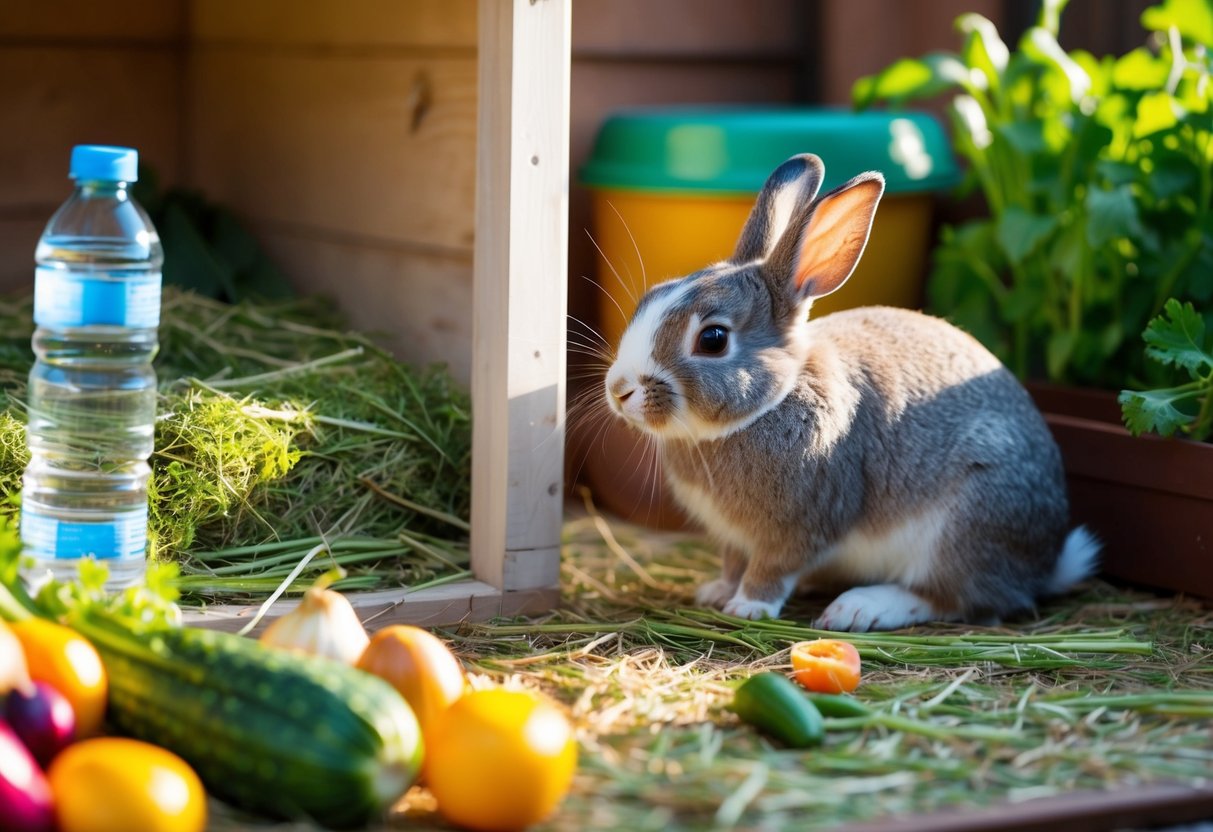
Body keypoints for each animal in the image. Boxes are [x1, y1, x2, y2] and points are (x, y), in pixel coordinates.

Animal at [602, 153, 1099, 632]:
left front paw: (748, 606)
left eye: (713, 339)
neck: (771, 402)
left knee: (956, 600)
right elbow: (732, 563)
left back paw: (862, 608)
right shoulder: (733, 538)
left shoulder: (801, 525)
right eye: (652, 297)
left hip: (966, 525)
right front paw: (717, 592)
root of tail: (1044, 564)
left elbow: (772, 569)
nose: (619, 390)